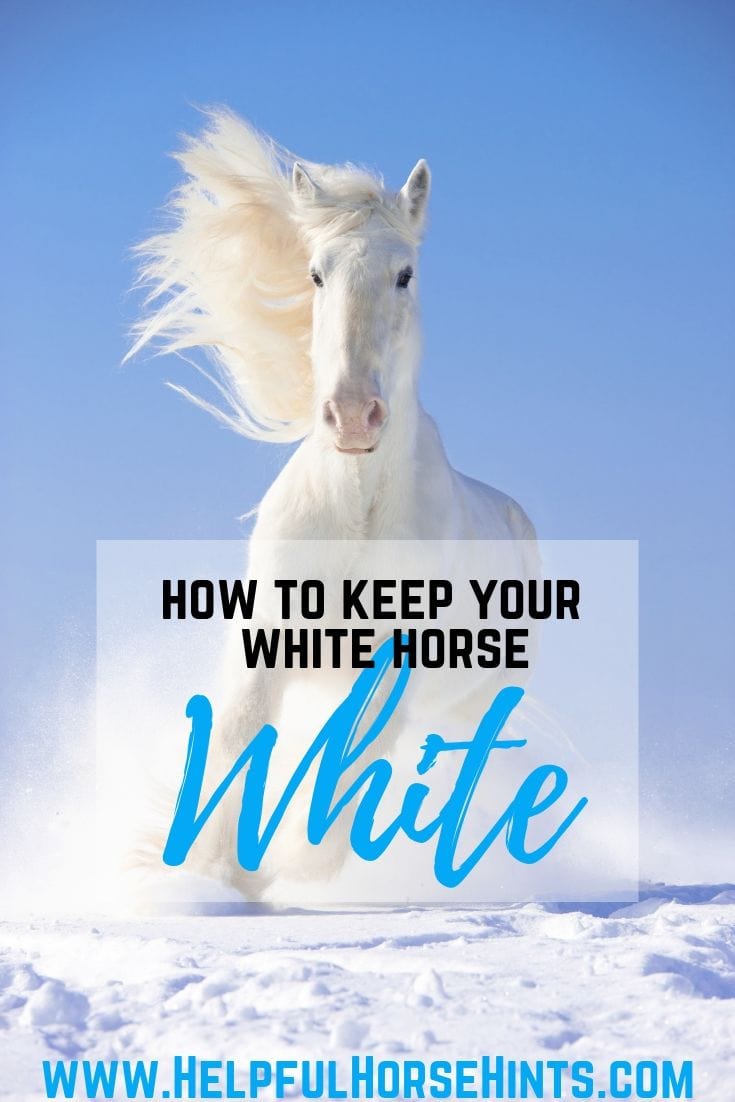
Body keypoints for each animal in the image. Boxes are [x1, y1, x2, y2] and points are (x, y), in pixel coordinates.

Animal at [129, 110, 538, 902]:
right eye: (316, 273)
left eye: (405, 274)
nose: (353, 416)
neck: (354, 515)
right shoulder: (267, 640)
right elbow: (237, 735)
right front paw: (208, 874)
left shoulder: (393, 665)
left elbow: (346, 777)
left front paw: (275, 866)